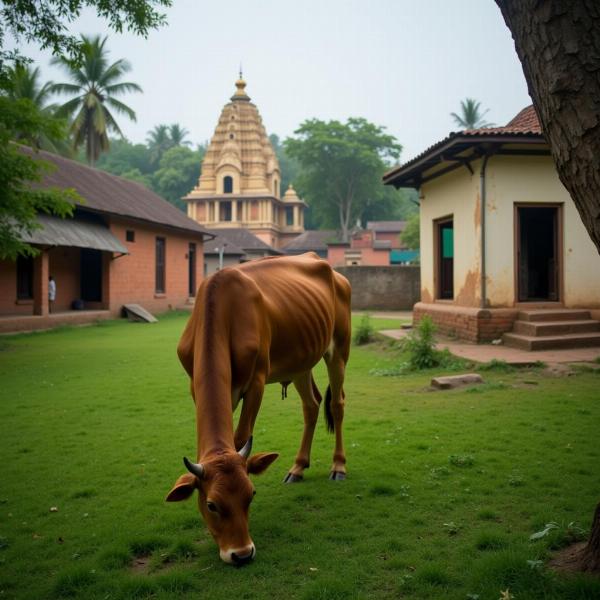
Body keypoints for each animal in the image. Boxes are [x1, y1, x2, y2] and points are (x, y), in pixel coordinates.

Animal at [165, 251, 352, 564]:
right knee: (311, 406)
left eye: (251, 494)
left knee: (336, 404)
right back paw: (298, 467)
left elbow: (240, 437)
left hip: (338, 349)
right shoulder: (198, 386)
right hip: (301, 361)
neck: (222, 308)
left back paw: (338, 466)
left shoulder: (257, 383)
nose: (241, 554)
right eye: (212, 504)